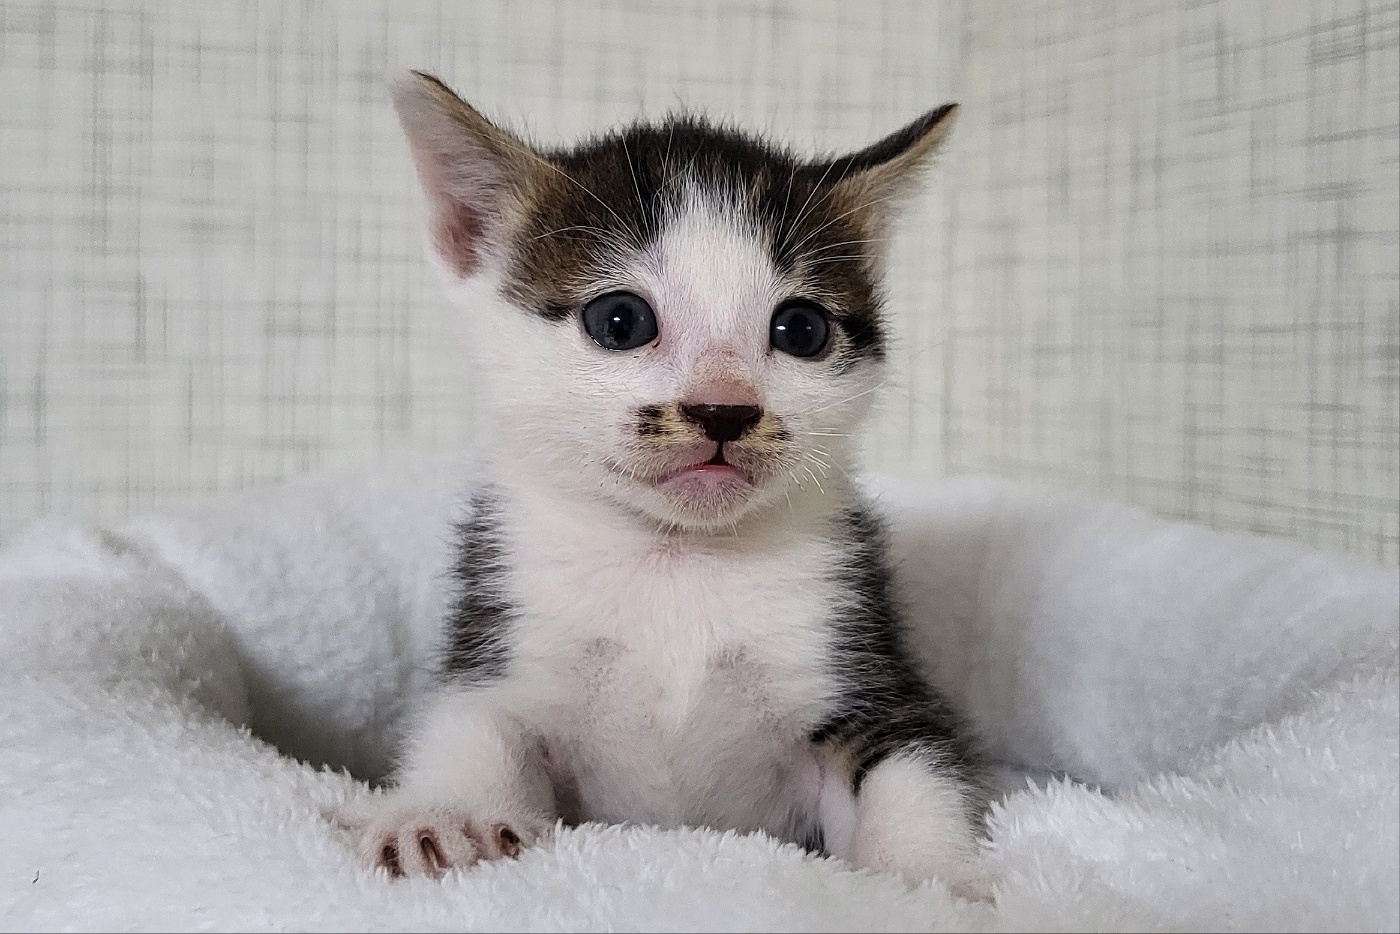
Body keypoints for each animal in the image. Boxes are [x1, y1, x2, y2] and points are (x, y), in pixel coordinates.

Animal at [340, 71, 991, 890]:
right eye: (620, 320)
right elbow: (476, 722)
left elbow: (913, 763)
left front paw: (927, 879)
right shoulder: (508, 640)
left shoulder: (860, 661)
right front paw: (444, 817)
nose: (724, 409)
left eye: (802, 329)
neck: (675, 554)